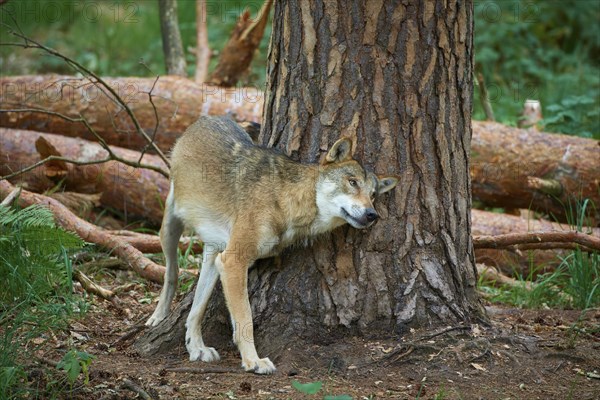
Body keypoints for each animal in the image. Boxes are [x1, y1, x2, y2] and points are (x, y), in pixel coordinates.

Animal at [146, 115, 398, 376]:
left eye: (373, 195)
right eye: (352, 182)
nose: (372, 214)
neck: (287, 199)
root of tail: (209, 118)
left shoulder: (226, 260)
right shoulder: (234, 262)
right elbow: (245, 319)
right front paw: (253, 361)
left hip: (214, 256)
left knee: (195, 310)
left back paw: (196, 348)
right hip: (170, 229)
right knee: (171, 273)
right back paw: (158, 317)